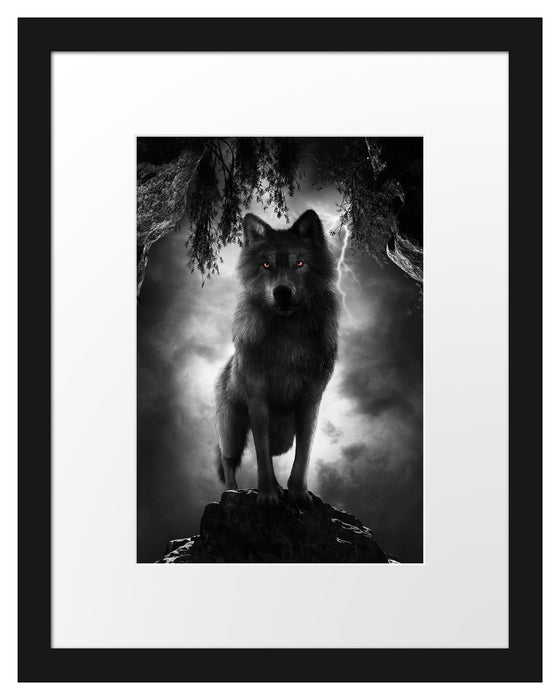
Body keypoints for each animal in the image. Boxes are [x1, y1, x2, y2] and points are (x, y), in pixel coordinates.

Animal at [214, 209, 340, 507]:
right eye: (266, 265)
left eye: (300, 263)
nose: (282, 292)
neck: (288, 335)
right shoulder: (258, 399)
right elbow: (260, 454)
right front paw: (268, 495)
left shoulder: (310, 401)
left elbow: (303, 455)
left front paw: (298, 494)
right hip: (232, 431)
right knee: (228, 461)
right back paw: (231, 492)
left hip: (283, 435)